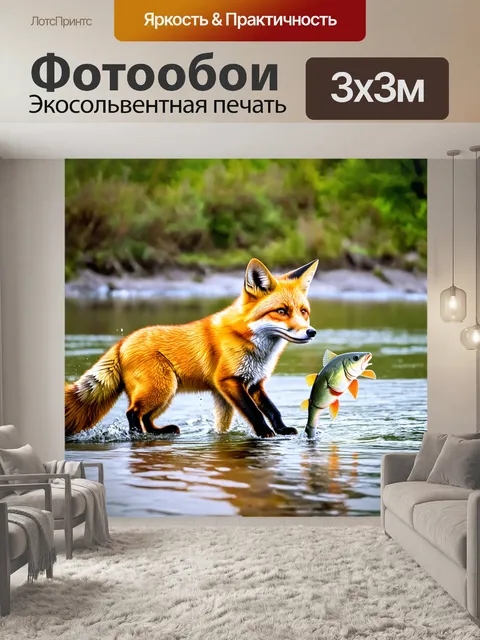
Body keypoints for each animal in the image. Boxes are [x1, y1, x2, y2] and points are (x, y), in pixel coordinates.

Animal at [65, 258, 319, 439]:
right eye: (282, 311)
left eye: (303, 312)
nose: (311, 332)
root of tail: (123, 341)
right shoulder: (228, 381)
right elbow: (254, 412)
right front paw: (265, 433)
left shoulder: (254, 382)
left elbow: (272, 409)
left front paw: (282, 430)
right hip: (161, 388)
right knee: (132, 413)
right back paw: (138, 437)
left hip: (166, 393)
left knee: (145, 418)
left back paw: (159, 432)